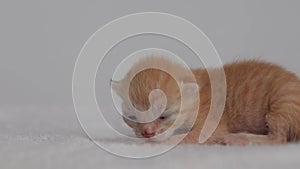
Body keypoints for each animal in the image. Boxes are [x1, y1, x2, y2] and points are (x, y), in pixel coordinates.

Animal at [111, 56, 300, 145]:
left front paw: (164, 142)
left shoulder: (212, 123)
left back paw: (238, 139)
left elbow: (190, 136)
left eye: (164, 116)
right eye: (133, 118)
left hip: (283, 100)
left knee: (279, 138)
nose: (147, 134)